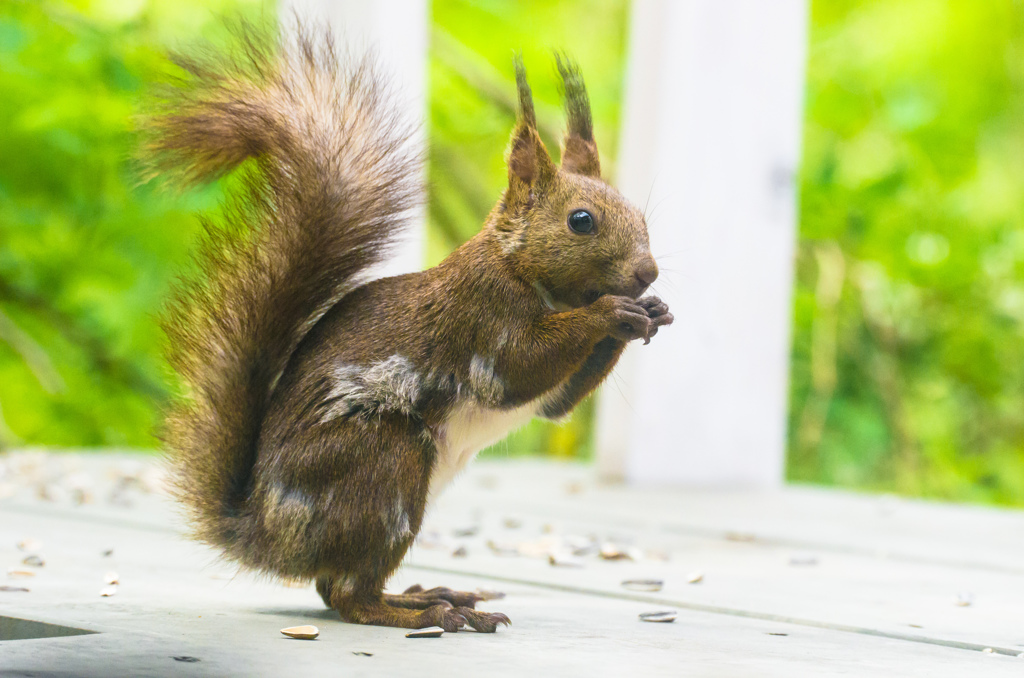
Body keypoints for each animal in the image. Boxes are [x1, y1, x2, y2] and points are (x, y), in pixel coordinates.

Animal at [146, 22, 671, 639]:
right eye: (581, 220)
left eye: (640, 215)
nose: (647, 272)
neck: (520, 267)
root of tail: (265, 536)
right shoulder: (481, 316)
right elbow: (516, 370)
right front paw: (611, 312)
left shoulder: (546, 386)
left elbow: (556, 402)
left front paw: (651, 311)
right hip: (384, 464)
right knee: (349, 596)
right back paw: (432, 611)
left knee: (333, 587)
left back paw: (431, 594)